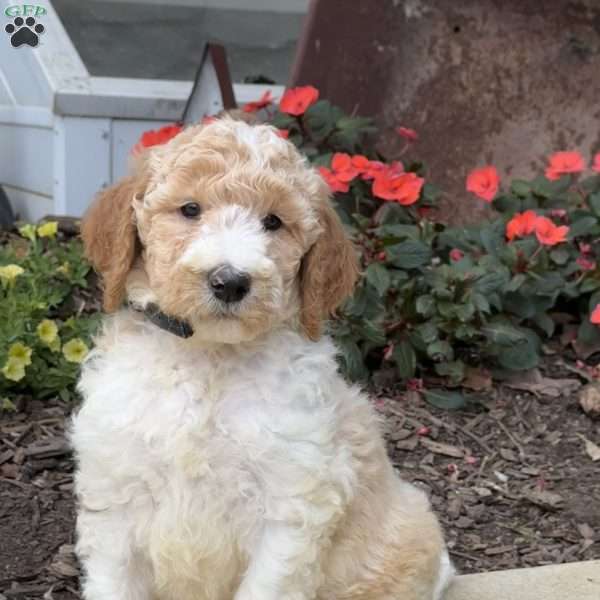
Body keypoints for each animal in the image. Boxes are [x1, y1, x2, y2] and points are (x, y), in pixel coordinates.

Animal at [72, 118, 452, 600]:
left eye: (273, 221)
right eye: (190, 209)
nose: (230, 281)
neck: (210, 358)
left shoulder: (290, 506)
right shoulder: (117, 493)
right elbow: (115, 581)